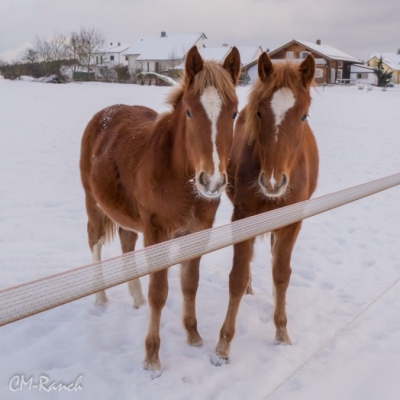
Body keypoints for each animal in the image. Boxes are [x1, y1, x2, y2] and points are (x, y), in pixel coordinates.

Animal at [79, 44, 239, 372]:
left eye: (234, 113)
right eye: (189, 111)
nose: (212, 181)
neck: (177, 174)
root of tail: (103, 115)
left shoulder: (197, 232)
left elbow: (189, 284)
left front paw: (193, 334)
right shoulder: (157, 233)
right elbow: (160, 293)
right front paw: (152, 357)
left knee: (127, 243)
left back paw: (135, 297)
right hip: (94, 205)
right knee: (95, 242)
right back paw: (101, 298)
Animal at [214, 52, 320, 362]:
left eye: (303, 115)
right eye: (260, 113)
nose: (273, 182)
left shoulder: (291, 223)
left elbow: (282, 274)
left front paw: (281, 332)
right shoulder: (242, 218)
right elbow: (237, 277)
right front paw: (223, 346)